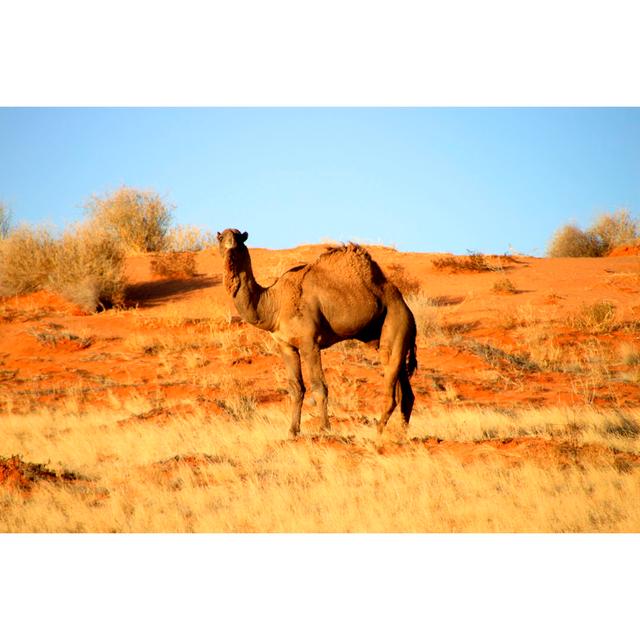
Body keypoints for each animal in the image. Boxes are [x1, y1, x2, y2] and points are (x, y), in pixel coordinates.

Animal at [218, 228, 418, 438]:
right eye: (221, 238)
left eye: (240, 239)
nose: (230, 245)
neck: (274, 303)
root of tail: (406, 307)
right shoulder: (286, 345)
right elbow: (296, 387)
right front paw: (293, 431)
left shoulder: (310, 342)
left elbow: (319, 386)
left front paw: (324, 429)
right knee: (406, 393)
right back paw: (401, 435)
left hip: (396, 322)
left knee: (392, 387)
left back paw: (378, 432)